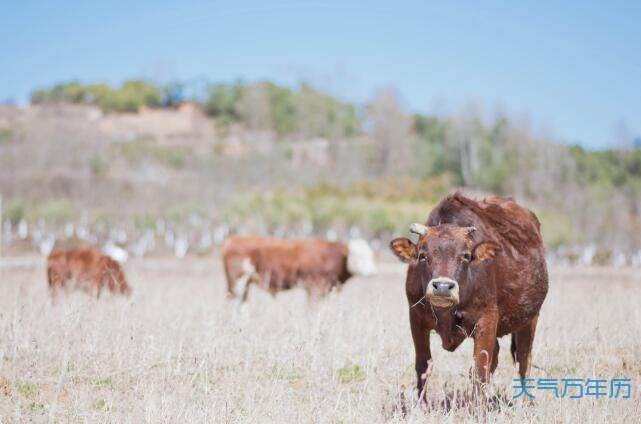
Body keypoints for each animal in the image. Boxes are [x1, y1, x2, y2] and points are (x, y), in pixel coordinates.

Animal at [220, 235, 376, 302]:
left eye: (371, 256)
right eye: (358, 256)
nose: (372, 271)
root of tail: (233, 238)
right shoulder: (315, 288)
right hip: (238, 281)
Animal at [388, 194, 548, 400]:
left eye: (465, 256)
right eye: (423, 255)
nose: (442, 287)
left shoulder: (487, 319)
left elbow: (480, 370)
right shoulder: (416, 319)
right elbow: (423, 366)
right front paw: (421, 404)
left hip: (530, 319)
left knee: (523, 361)